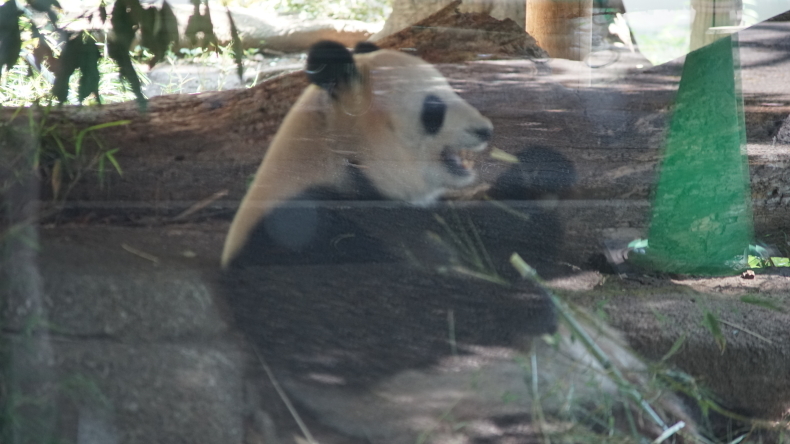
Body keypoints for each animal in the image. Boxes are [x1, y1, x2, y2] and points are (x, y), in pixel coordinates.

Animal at [220, 40, 696, 440]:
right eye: (434, 108)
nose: (485, 131)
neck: (338, 164)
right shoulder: (301, 229)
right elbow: (374, 314)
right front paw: (529, 304)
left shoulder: (421, 213)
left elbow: (498, 242)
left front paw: (540, 170)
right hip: (472, 415)